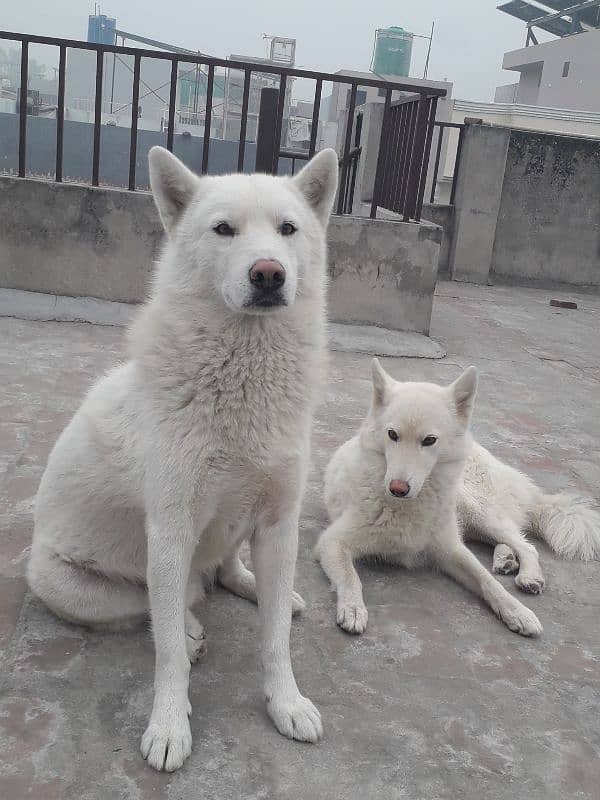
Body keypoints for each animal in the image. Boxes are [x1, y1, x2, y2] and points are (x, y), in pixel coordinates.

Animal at [314, 360, 600, 636]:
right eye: (392, 435)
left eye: (429, 440)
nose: (397, 488)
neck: (407, 507)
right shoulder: (333, 541)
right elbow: (350, 576)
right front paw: (353, 608)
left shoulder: (450, 549)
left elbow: (487, 581)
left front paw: (517, 611)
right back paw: (505, 560)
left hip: (475, 509)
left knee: (525, 544)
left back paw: (528, 575)